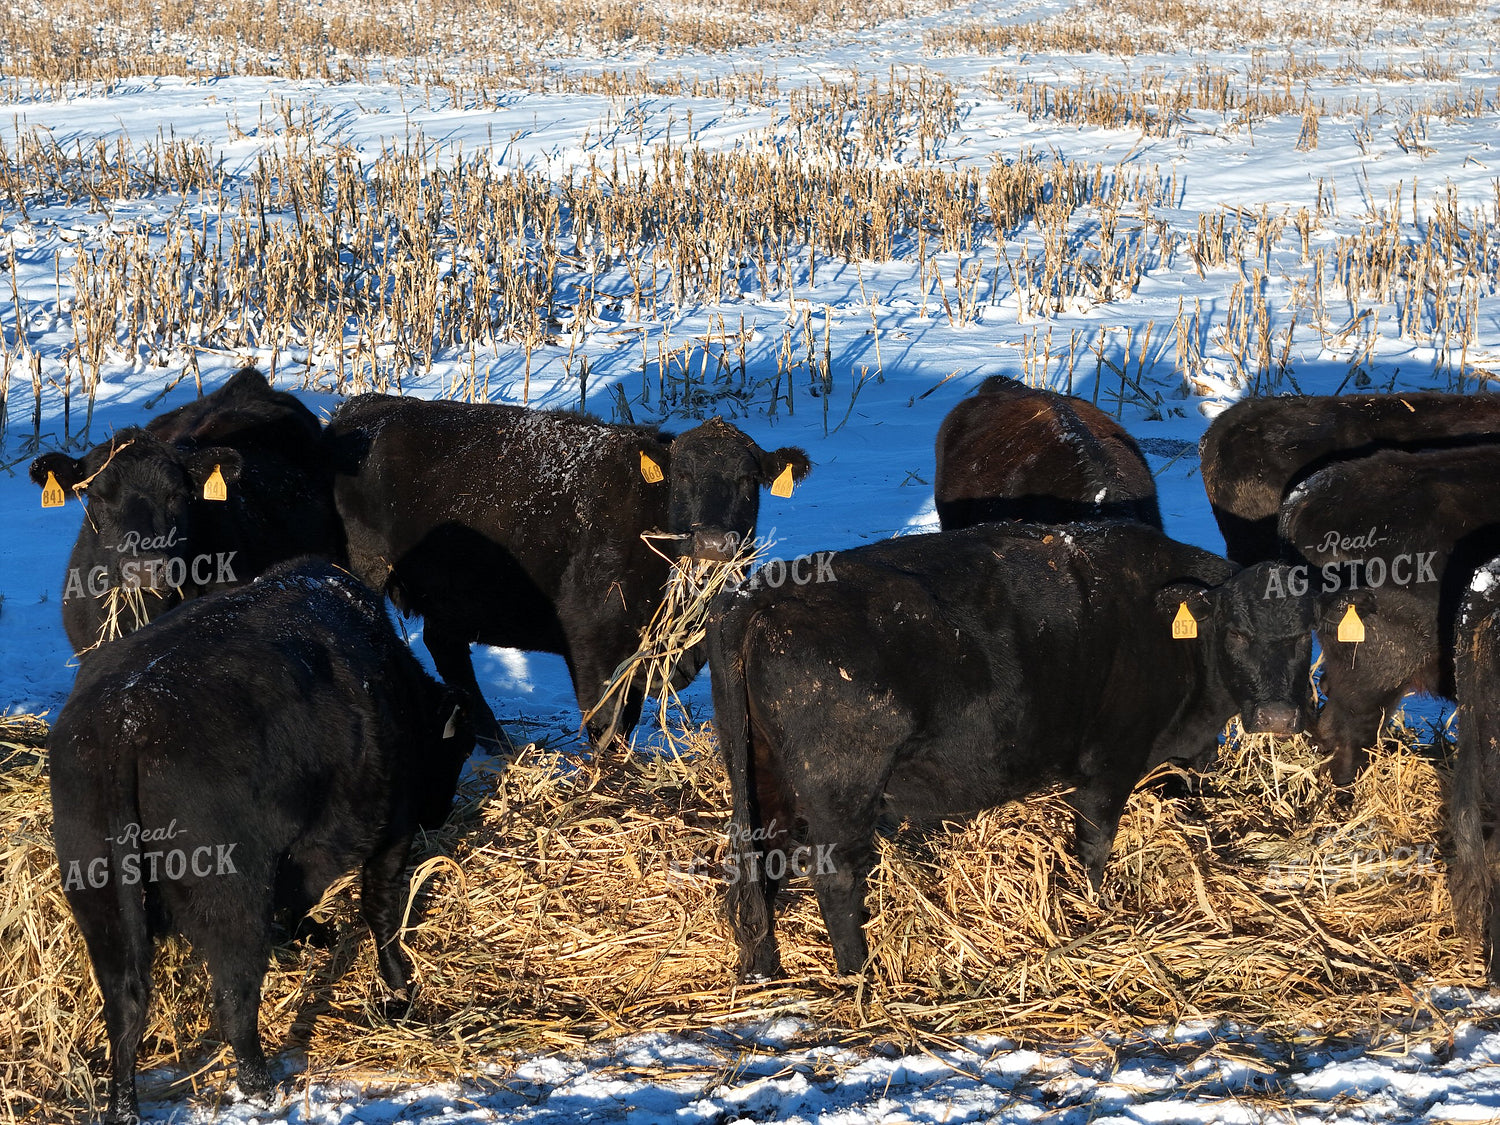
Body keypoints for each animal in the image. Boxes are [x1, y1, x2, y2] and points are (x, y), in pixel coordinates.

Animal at [48, 559, 474, 1123]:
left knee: (126, 1005)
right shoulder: (389, 832)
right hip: (234, 900)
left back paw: (125, 1105)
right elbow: (378, 909)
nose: (439, 811)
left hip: (103, 905)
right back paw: (262, 1087)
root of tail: (126, 718)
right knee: (233, 998)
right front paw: (398, 988)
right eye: (458, 750)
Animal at [326, 395, 811, 751]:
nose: (713, 543)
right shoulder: (591, 638)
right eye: (683, 476)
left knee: (446, 648)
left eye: (748, 480)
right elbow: (606, 723)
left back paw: (499, 743)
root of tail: (358, 409)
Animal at [706, 521, 1315, 980]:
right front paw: (1095, 915)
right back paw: (859, 976)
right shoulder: (1109, 764)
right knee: (834, 877)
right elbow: (1093, 848)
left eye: (1305, 635)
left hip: (762, 775)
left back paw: (762, 968)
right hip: (839, 786)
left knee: (758, 862)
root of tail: (762, 596)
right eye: (1235, 632)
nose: (1279, 717)